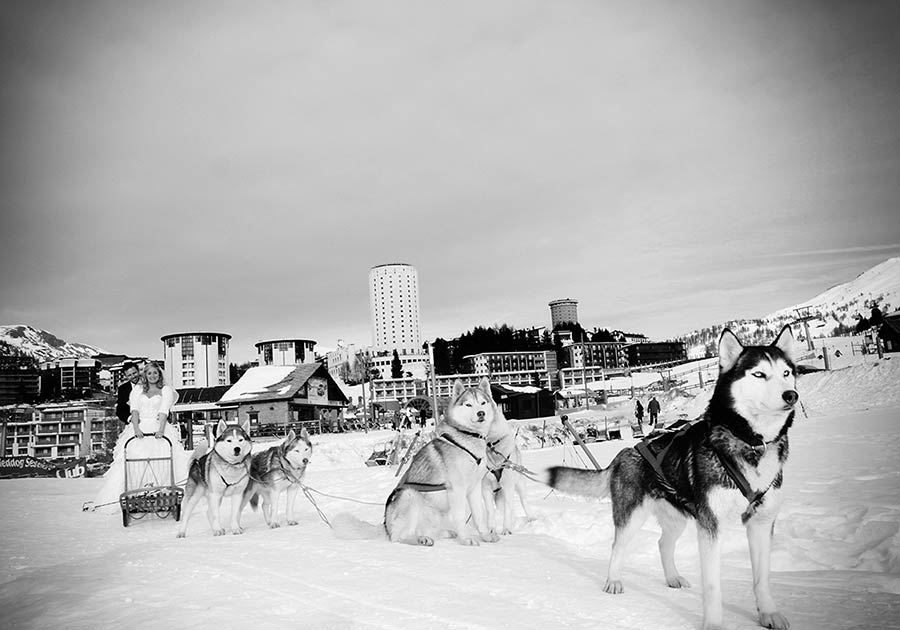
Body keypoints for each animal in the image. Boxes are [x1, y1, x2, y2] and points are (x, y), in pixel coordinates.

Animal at [384, 380, 502, 548]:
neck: (467, 437)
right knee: (400, 537)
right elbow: (460, 517)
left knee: (431, 530)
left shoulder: (474, 488)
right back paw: (420, 539)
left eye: (482, 403)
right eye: (468, 405)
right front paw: (466, 539)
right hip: (410, 495)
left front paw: (485, 535)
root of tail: (387, 527)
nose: (481, 413)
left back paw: (443, 533)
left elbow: (479, 515)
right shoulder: (457, 489)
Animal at [486, 408, 536, 536]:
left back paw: (531, 518)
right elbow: (489, 510)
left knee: (523, 502)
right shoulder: (484, 487)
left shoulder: (508, 485)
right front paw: (491, 530)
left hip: (519, 485)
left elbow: (508, 509)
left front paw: (506, 530)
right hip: (499, 498)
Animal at [548, 326, 796, 630]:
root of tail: (624, 453)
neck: (750, 442)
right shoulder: (710, 526)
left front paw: (768, 614)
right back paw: (614, 581)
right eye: (759, 374)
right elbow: (712, 585)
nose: (791, 395)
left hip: (677, 517)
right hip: (632, 516)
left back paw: (672, 577)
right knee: (618, 546)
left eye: (786, 372)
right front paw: (714, 624)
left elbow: (762, 578)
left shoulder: (761, 523)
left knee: (662, 544)